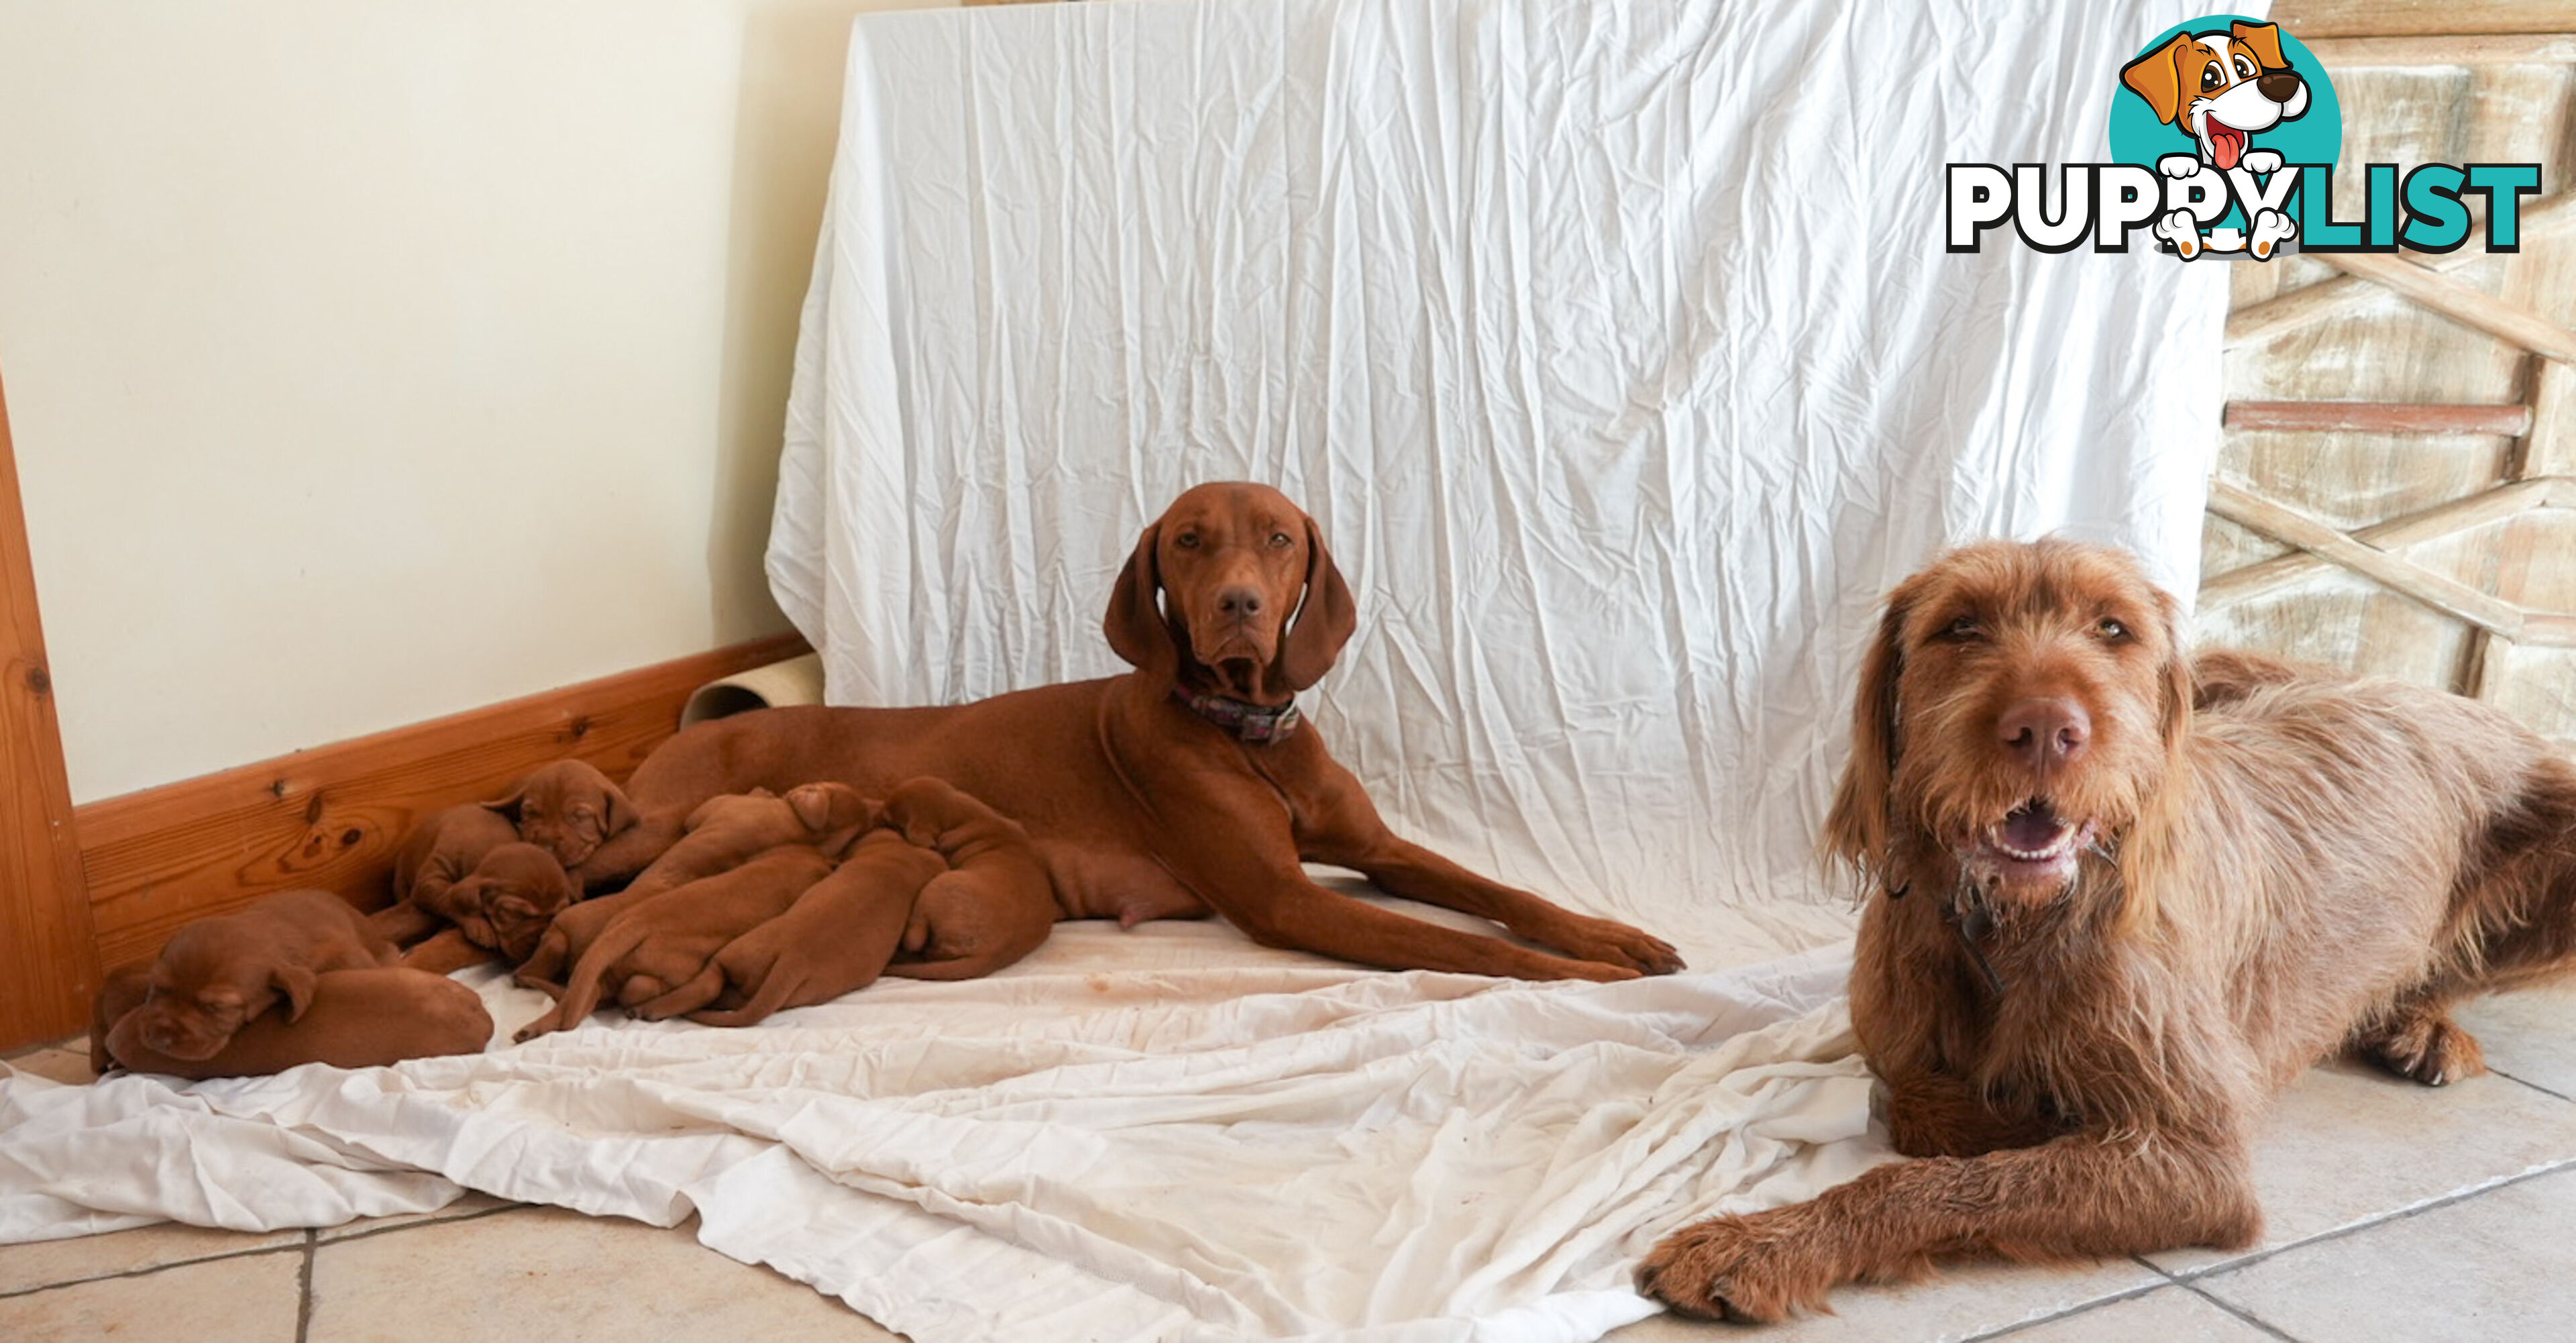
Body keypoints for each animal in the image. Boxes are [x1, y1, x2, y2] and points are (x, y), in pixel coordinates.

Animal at [517, 845, 839, 1041]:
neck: (790, 863)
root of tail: (634, 924)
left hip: (605, 965)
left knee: (586, 996)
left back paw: (533, 1029)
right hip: (681, 967)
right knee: (660, 990)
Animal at [574, 482, 1679, 974]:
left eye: (1278, 538)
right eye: (1189, 541)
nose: (1238, 603)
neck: (1246, 730)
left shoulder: (1376, 848)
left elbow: (1501, 895)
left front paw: (1614, 934)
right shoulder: (1286, 900)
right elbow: (1469, 947)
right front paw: (1586, 976)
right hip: (652, 830)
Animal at [1638, 536, 2576, 1320]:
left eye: (2114, 628)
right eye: (1959, 627)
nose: (2048, 727)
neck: (2011, 927)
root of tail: (2435, 690)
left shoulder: (2202, 1162)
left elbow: (1933, 1185)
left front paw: (1764, 1243)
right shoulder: (1904, 1052)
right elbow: (1918, 1106)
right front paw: (2021, 1116)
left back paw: (2422, 1020)